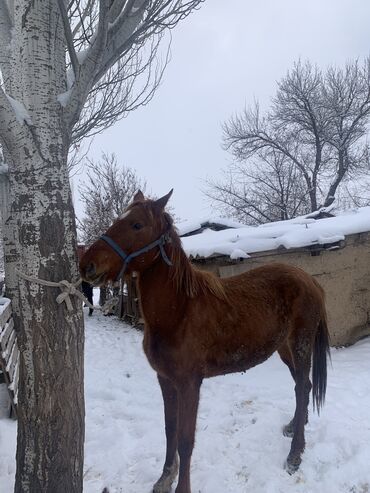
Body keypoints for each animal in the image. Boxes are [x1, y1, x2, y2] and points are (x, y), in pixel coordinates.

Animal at [80, 189, 330, 492]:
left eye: (136, 225)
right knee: (302, 386)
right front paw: (165, 477)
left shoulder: (190, 383)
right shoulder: (165, 379)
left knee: (303, 387)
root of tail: (309, 280)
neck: (179, 311)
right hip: (284, 348)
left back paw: (295, 454)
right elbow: (170, 430)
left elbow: (186, 441)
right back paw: (295, 426)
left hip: (300, 344)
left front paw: (181, 486)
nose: (86, 265)